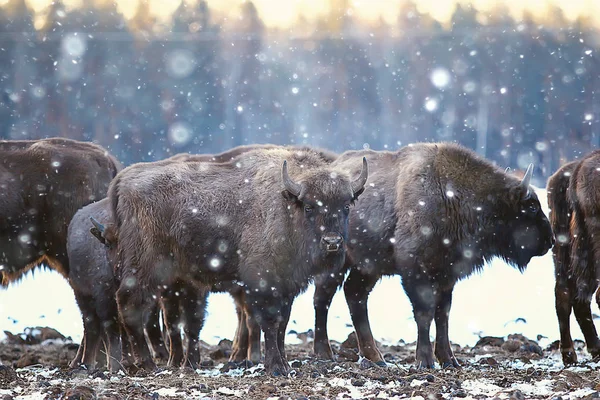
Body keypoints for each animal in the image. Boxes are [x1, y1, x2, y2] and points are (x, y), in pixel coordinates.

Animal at [110, 147, 368, 376]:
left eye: (346, 205)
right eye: (309, 206)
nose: (332, 242)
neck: (286, 207)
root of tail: (123, 180)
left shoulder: (287, 287)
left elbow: (282, 324)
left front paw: (285, 364)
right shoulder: (264, 283)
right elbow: (270, 322)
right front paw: (275, 367)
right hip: (146, 267)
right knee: (130, 305)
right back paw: (147, 365)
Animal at [314, 143, 552, 368]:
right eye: (531, 206)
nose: (549, 240)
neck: (452, 196)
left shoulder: (447, 276)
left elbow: (443, 314)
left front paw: (449, 360)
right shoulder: (416, 271)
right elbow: (424, 313)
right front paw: (425, 361)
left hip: (368, 267)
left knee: (355, 294)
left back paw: (375, 357)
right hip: (337, 264)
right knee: (323, 299)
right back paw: (324, 353)